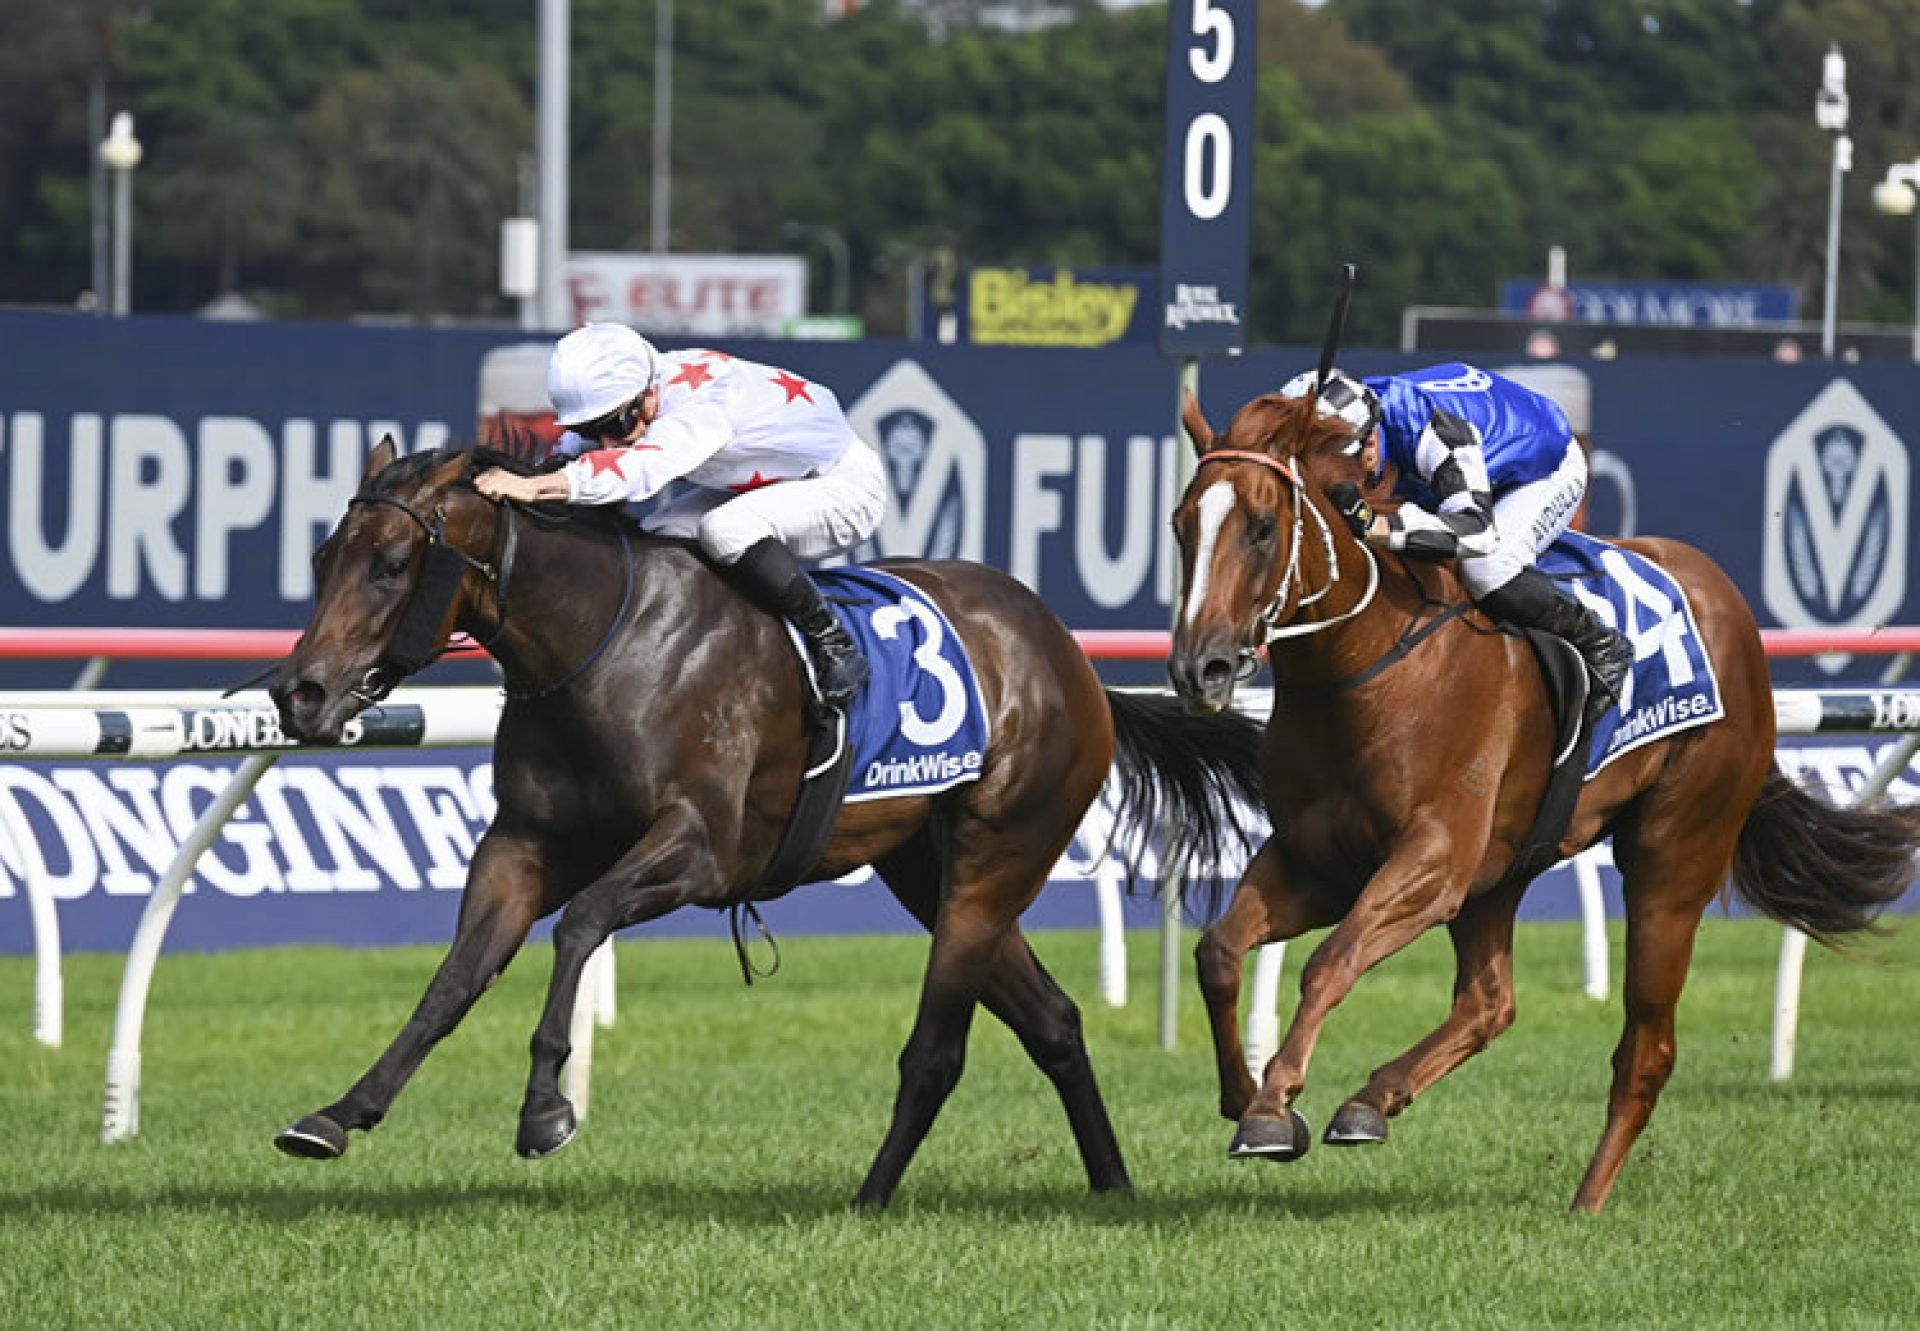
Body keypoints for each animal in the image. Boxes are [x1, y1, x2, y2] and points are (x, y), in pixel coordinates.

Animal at [266, 435, 1259, 1206]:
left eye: (392, 565)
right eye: (322, 558)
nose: (299, 693)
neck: (605, 639)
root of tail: (1068, 654)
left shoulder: (700, 850)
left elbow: (581, 922)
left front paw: (547, 1108)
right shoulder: (521, 845)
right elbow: (454, 979)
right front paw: (339, 1113)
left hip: (998, 852)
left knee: (937, 1051)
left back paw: (869, 1197)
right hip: (927, 870)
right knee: (1051, 1019)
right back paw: (1111, 1183)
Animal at [1159, 389, 1912, 1206]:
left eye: (1263, 527)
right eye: (1181, 524)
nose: (1200, 668)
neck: (1367, 666)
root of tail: (1732, 611)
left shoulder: (1433, 861)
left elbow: (1329, 961)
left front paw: (1273, 1103)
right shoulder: (1316, 860)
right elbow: (1219, 950)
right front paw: (1248, 1096)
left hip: (1672, 858)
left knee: (1646, 1048)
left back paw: (1587, 1201)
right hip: (1502, 872)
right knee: (1490, 1002)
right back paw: (1372, 1101)